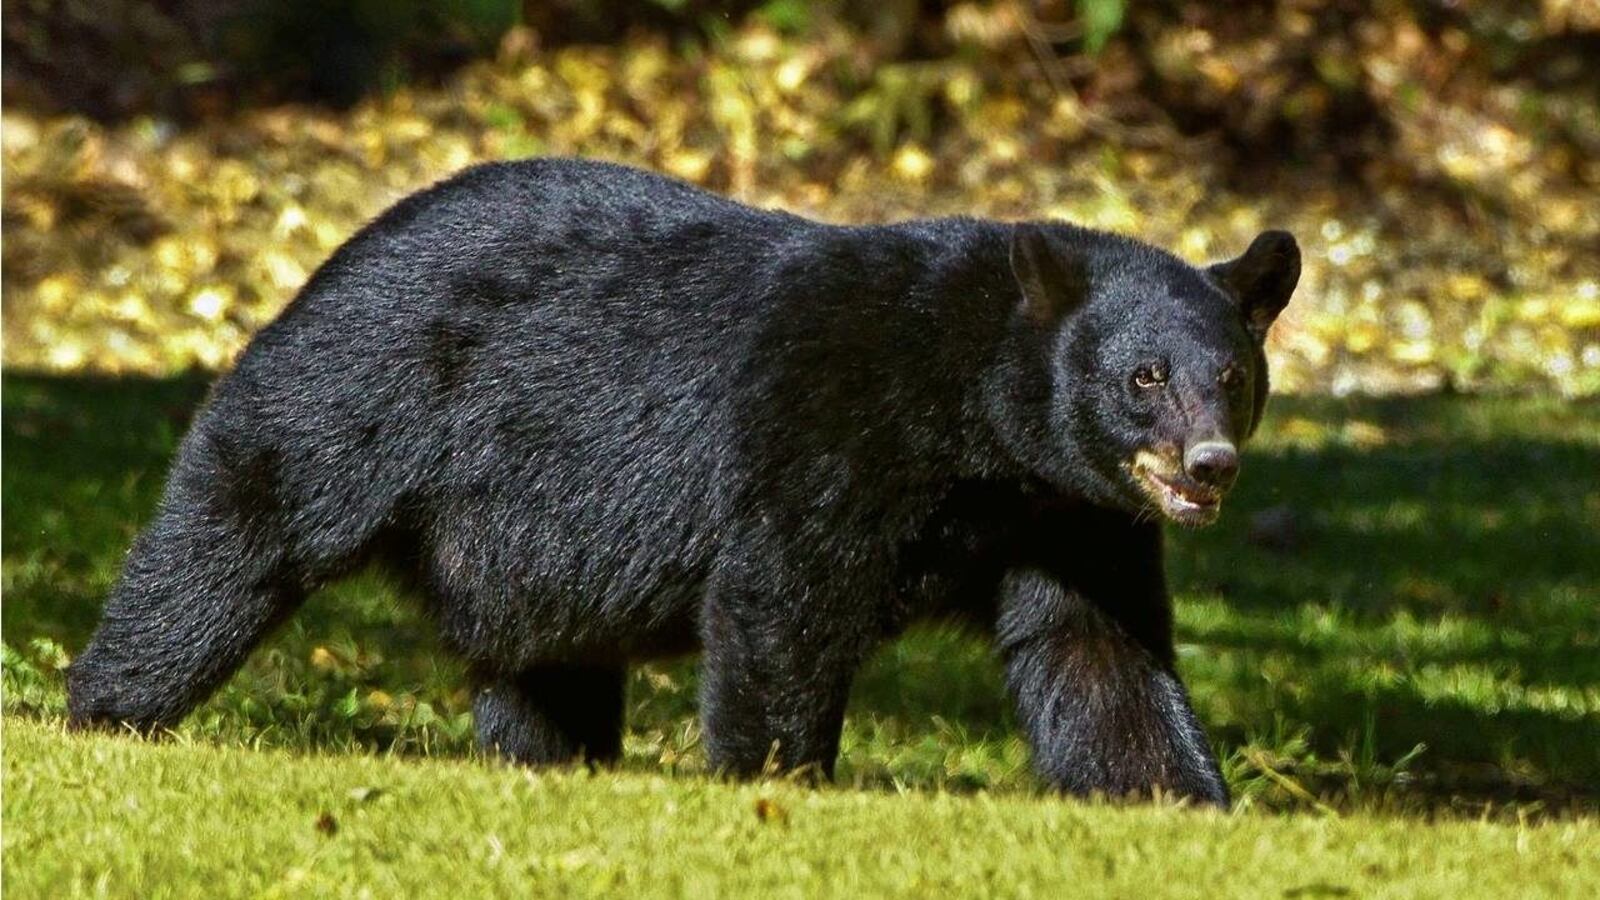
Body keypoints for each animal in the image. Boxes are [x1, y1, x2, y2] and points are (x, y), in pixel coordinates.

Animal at [72, 156, 1299, 807]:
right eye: (1143, 376)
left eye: (1231, 377)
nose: (1209, 465)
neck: (976, 424)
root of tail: (338, 249)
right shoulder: (829, 424)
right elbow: (782, 600)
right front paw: (780, 784)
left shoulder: (1066, 512)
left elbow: (1096, 651)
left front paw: (1179, 800)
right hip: (359, 389)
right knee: (237, 530)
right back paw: (107, 709)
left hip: (520, 546)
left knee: (542, 665)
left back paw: (553, 763)